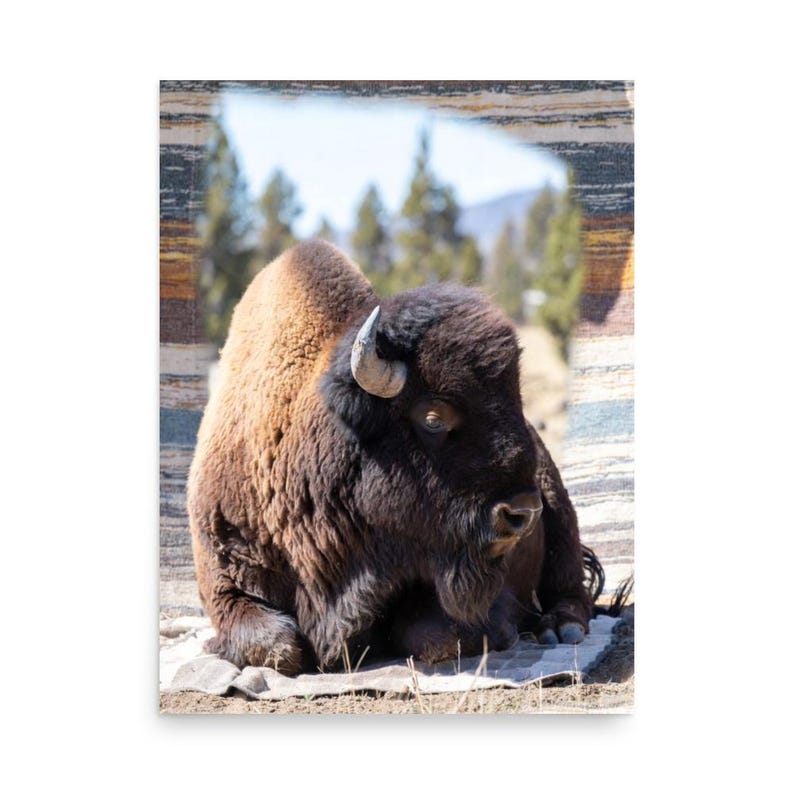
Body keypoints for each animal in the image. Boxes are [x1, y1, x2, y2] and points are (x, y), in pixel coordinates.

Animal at [187, 239, 600, 675]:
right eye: (433, 418)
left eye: (517, 402)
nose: (522, 513)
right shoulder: (225, 584)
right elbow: (280, 646)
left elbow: (432, 632)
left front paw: (503, 628)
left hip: (559, 510)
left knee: (570, 582)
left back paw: (559, 627)